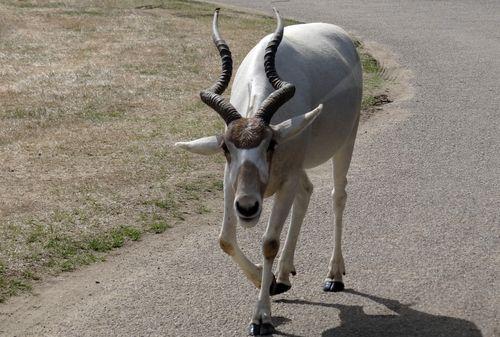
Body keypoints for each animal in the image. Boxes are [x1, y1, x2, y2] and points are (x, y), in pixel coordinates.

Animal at [177, 7, 364, 334]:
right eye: (226, 148)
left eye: (271, 144)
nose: (248, 207)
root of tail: (340, 35)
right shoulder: (231, 182)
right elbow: (225, 238)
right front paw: (272, 282)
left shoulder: (285, 179)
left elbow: (268, 242)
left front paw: (261, 317)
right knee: (307, 192)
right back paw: (285, 274)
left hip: (346, 141)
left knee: (337, 196)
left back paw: (334, 276)